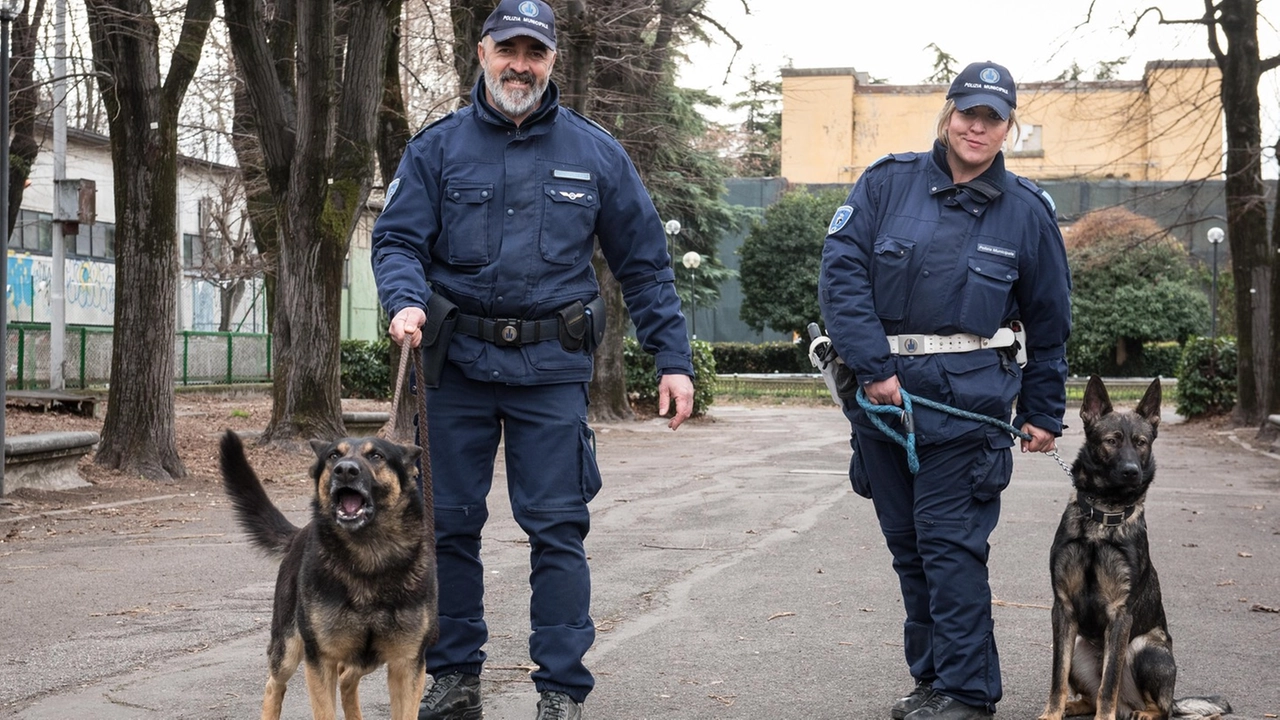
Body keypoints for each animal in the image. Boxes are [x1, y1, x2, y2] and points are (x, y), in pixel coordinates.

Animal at [221, 427, 440, 717]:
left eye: (377, 456)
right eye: (334, 455)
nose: (345, 470)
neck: (369, 557)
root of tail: (299, 534)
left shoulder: (407, 664)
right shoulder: (320, 660)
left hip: (365, 658)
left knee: (347, 679)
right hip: (289, 650)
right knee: (273, 686)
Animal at [1039, 376, 1228, 717]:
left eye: (1141, 442)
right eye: (1112, 441)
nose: (1131, 471)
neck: (1103, 517)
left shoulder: (1120, 615)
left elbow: (1109, 683)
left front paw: (1105, 717)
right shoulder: (1063, 609)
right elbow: (1058, 676)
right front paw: (1051, 713)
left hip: (1145, 649)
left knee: (1160, 707)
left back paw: (1144, 711)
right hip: (1079, 648)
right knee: (1089, 694)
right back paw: (1074, 706)